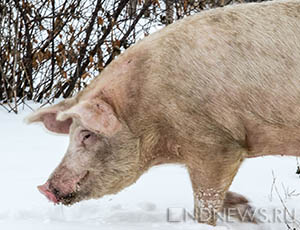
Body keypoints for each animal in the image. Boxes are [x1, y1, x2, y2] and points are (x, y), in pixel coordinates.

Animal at [26, 0, 300, 226]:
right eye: (70, 134)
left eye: (86, 135)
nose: (44, 188)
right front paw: (249, 212)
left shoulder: (216, 143)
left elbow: (205, 199)